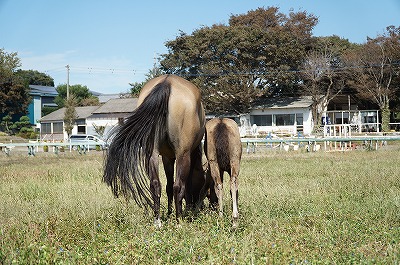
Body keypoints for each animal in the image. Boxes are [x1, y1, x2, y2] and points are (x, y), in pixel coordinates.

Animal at [102, 74, 206, 225]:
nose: (200, 205)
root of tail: (167, 82)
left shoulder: (167, 157)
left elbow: (168, 186)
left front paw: (169, 212)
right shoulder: (187, 155)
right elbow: (184, 185)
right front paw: (185, 210)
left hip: (152, 154)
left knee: (155, 184)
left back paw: (158, 221)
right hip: (182, 154)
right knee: (178, 186)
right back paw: (179, 220)